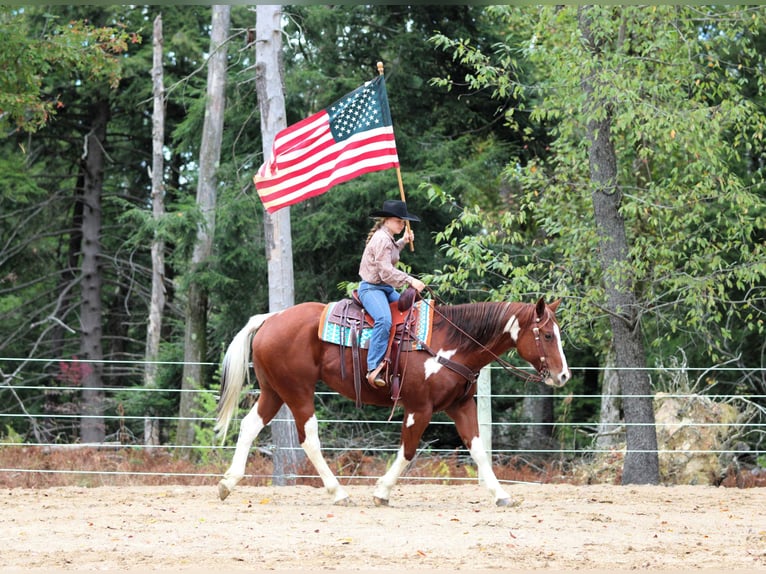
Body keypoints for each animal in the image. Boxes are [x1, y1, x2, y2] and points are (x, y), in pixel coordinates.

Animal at [214, 296, 571, 507]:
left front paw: (501, 494)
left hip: (274, 390)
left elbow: (479, 450)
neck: (453, 344)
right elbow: (408, 451)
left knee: (249, 426)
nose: (564, 375)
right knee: (309, 439)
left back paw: (227, 483)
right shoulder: (419, 408)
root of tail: (271, 318)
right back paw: (339, 492)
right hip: (298, 391)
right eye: (547, 335)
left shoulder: (461, 406)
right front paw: (382, 491)